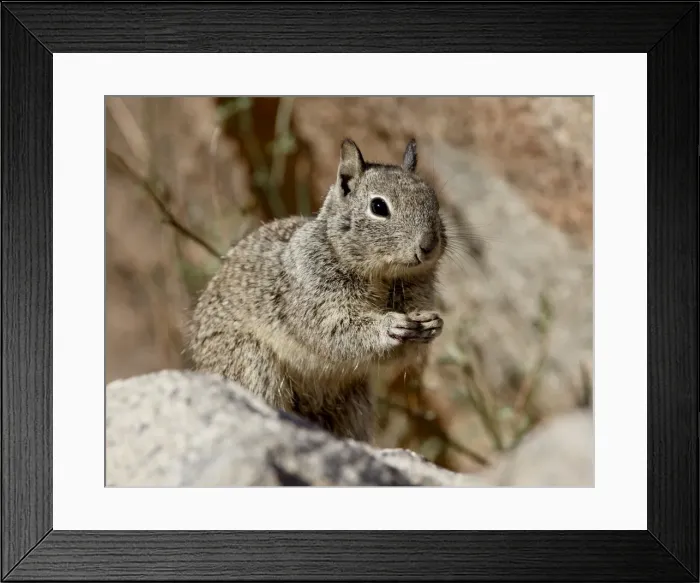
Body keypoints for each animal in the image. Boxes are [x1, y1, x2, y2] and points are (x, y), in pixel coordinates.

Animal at [187, 138, 447, 443]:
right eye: (379, 206)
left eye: (434, 201)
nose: (428, 246)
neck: (381, 277)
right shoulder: (316, 302)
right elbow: (336, 329)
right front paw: (389, 326)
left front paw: (432, 323)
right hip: (252, 365)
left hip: (353, 403)